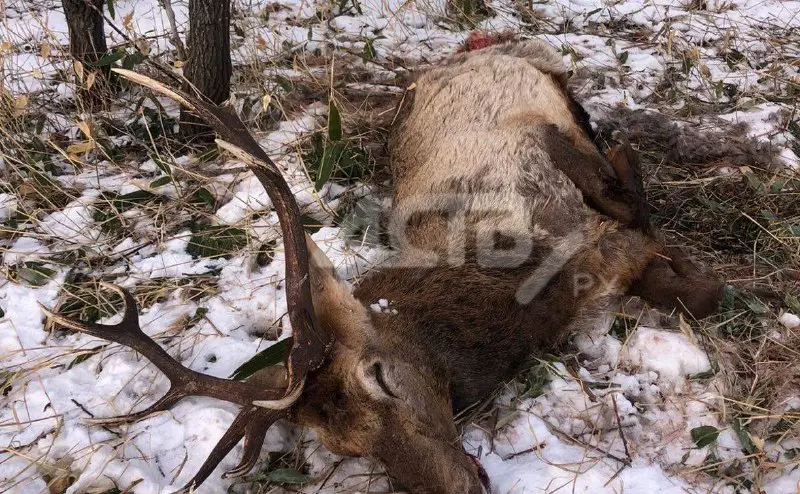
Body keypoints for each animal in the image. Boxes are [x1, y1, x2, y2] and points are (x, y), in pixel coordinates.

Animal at [40, 39, 720, 494]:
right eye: (350, 446)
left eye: (383, 376)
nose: (458, 487)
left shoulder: (591, 239)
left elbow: (691, 283)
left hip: (543, 75)